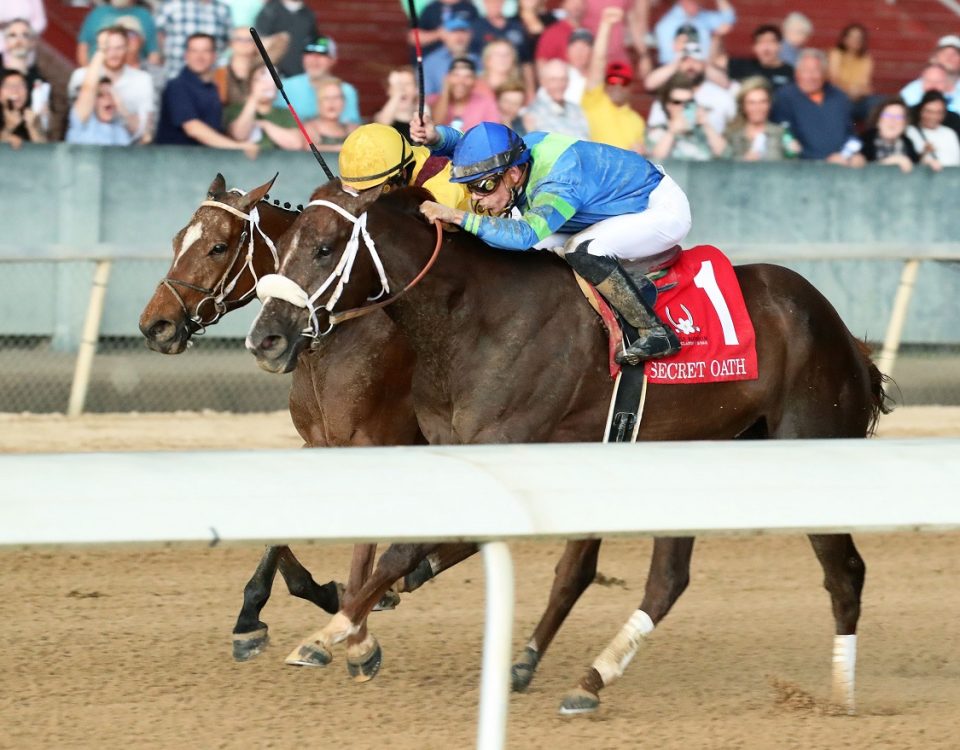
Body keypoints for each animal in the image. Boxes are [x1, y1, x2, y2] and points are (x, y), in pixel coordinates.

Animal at [138, 176, 476, 668]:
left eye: (218, 247)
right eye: (177, 240)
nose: (155, 325)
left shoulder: (376, 443)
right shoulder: (320, 441)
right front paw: (259, 615)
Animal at [244, 182, 888, 716]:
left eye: (324, 248)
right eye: (279, 249)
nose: (265, 338)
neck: (475, 317)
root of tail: (845, 337)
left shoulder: (504, 446)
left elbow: (404, 550)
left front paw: (332, 635)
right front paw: (348, 624)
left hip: (808, 447)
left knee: (845, 573)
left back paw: (842, 697)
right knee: (668, 580)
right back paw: (586, 679)